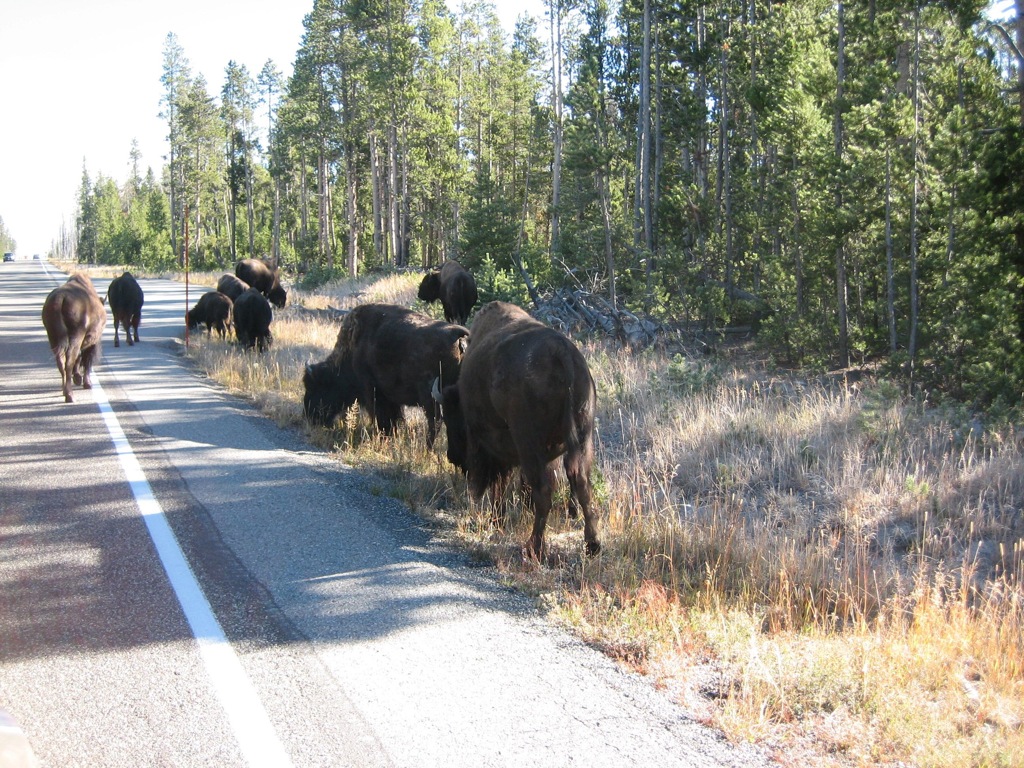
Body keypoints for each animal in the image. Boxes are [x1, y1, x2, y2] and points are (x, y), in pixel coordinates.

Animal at [41, 273, 107, 403]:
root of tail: (60, 298)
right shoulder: (93, 342)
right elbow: (86, 361)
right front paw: (87, 383)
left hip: (53, 337)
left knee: (61, 361)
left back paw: (65, 390)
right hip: (76, 335)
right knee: (70, 360)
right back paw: (70, 396)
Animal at [303, 303, 468, 447]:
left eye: (314, 387)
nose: (310, 416)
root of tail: (459, 337)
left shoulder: (372, 391)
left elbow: (381, 416)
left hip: (430, 395)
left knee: (435, 421)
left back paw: (427, 448)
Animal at [435, 301, 600, 558]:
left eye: (452, 419)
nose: (452, 456)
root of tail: (561, 353)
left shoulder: (488, 443)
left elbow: (498, 481)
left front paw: (494, 519)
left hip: (529, 441)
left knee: (543, 490)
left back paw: (534, 547)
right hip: (583, 437)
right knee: (580, 482)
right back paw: (592, 545)